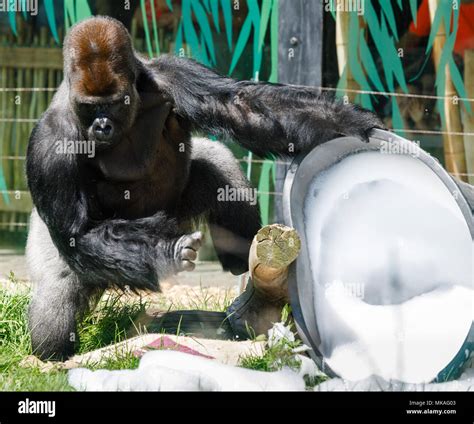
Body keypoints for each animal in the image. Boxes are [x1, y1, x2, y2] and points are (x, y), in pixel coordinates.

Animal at [25, 17, 382, 362]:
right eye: (88, 108)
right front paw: (166, 253)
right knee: (55, 295)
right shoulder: (50, 144)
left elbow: (239, 104)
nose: (101, 126)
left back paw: (243, 264)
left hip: (177, 212)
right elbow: (80, 233)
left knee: (218, 167)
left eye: (112, 105)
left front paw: (345, 121)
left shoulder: (172, 72)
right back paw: (52, 354)